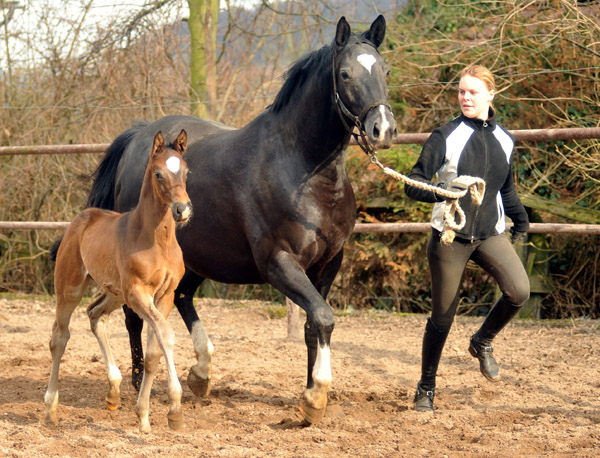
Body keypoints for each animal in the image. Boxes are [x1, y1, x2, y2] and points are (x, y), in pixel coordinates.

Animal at [44, 130, 190, 432]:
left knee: (94, 314)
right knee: (59, 338)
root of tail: (82, 218)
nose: (182, 209)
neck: (157, 240)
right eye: (158, 173)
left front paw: (145, 417)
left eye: (185, 171)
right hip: (70, 288)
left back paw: (113, 392)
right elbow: (166, 335)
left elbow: (154, 352)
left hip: (114, 293)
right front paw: (175, 410)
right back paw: (50, 408)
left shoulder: (165, 295)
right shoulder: (138, 293)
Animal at [84, 14, 396, 424]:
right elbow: (324, 317)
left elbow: (314, 324)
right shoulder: (279, 263)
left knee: (182, 296)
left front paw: (309, 395)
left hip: (196, 255)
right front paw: (316, 396)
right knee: (134, 317)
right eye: (345, 74)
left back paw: (201, 373)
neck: (303, 170)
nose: (384, 129)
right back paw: (138, 383)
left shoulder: (328, 263)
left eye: (385, 70)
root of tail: (138, 138)